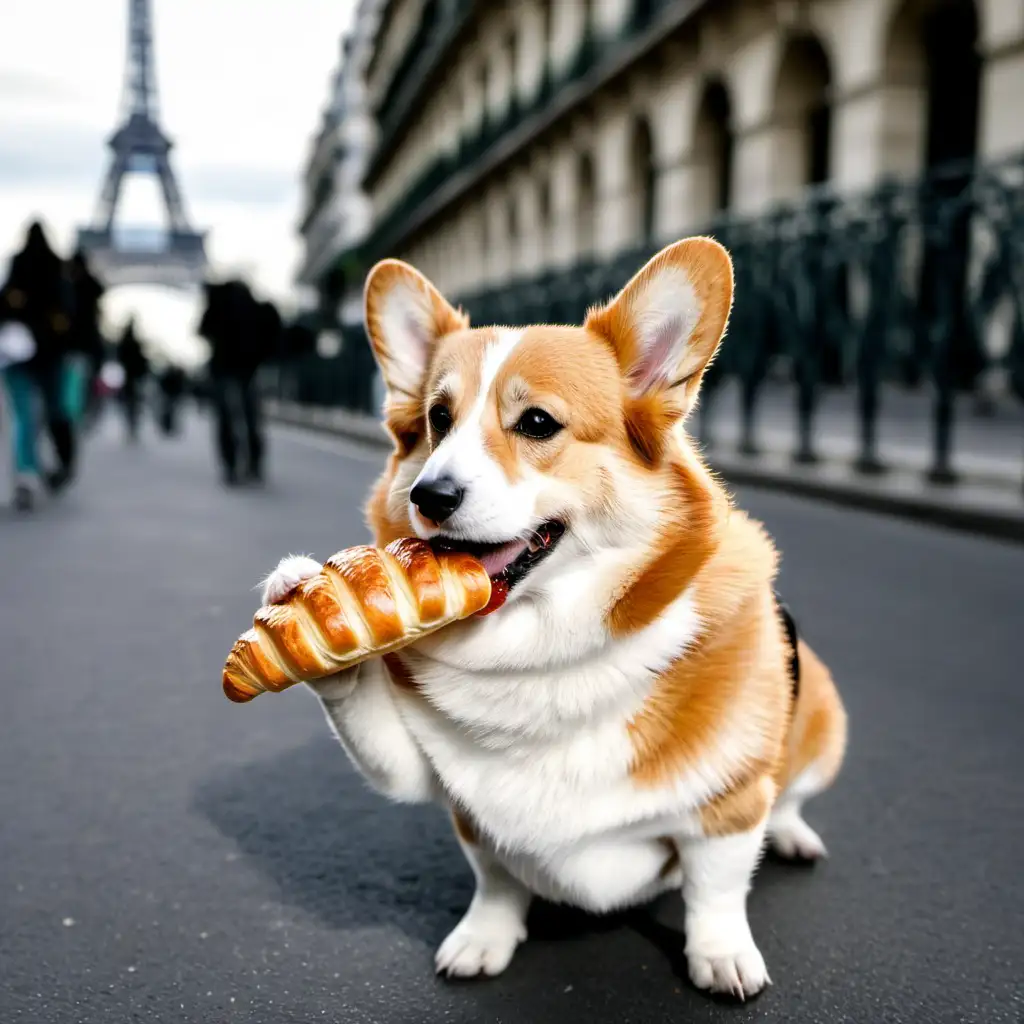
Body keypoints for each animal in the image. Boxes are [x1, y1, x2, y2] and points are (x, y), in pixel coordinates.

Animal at [260, 235, 843, 995]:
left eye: (537, 423)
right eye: (437, 421)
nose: (429, 495)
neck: (541, 650)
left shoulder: (730, 801)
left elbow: (715, 887)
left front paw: (721, 955)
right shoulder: (445, 793)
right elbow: (495, 881)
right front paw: (485, 938)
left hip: (823, 717)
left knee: (793, 792)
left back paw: (795, 834)